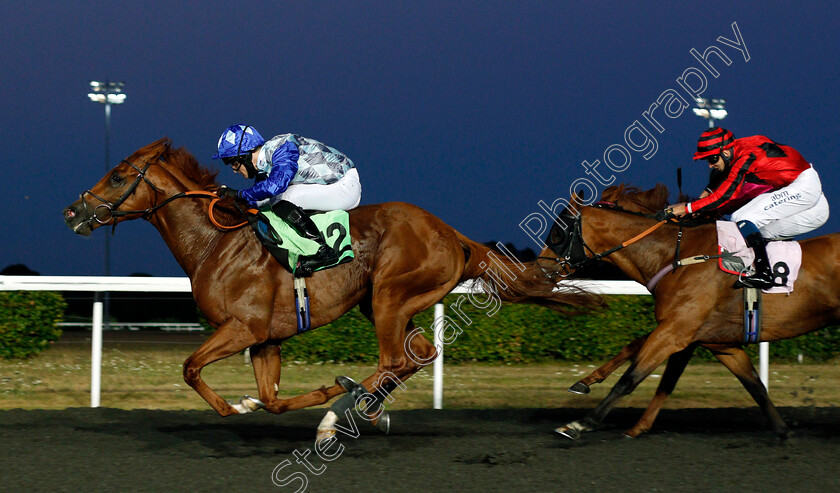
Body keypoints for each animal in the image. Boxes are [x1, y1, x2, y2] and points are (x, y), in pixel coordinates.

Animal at [62, 138, 592, 434]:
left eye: (118, 176)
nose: (73, 211)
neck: (217, 242)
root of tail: (452, 234)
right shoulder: (266, 338)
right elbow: (273, 400)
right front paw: (260, 399)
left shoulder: (244, 328)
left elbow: (191, 369)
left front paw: (238, 406)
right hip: (389, 304)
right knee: (419, 354)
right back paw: (367, 407)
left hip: (389, 297)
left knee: (395, 359)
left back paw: (340, 415)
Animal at [540, 184, 840, 438]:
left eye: (557, 233)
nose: (541, 269)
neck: (676, 256)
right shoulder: (712, 341)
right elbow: (753, 385)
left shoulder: (676, 332)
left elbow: (631, 378)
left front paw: (580, 424)